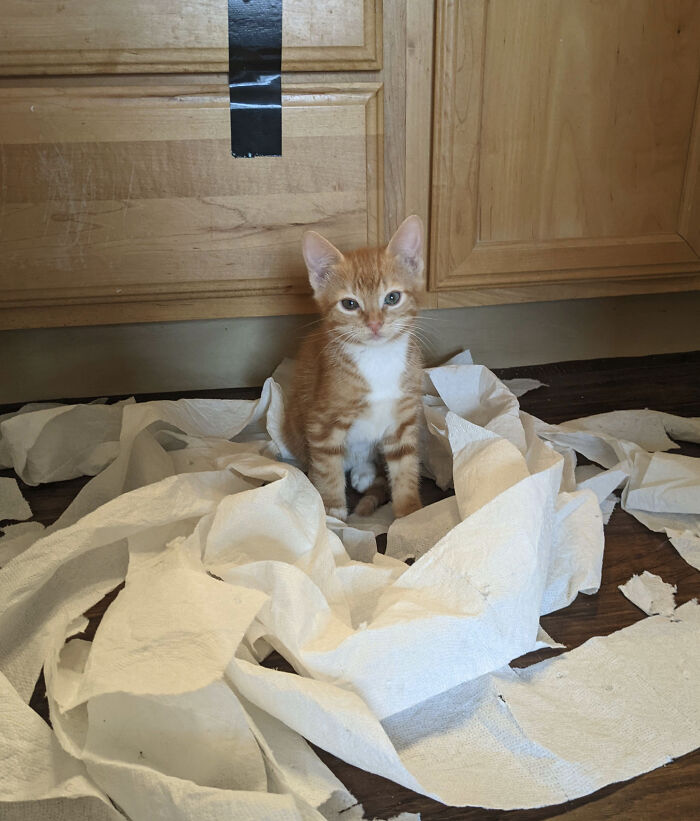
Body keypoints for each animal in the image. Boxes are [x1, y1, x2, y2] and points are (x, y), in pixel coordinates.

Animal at [284, 213, 424, 520]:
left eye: (392, 298)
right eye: (349, 304)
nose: (374, 324)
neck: (378, 359)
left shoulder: (402, 419)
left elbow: (405, 468)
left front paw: (411, 516)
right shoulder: (322, 422)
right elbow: (328, 469)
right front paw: (332, 514)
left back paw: (364, 472)